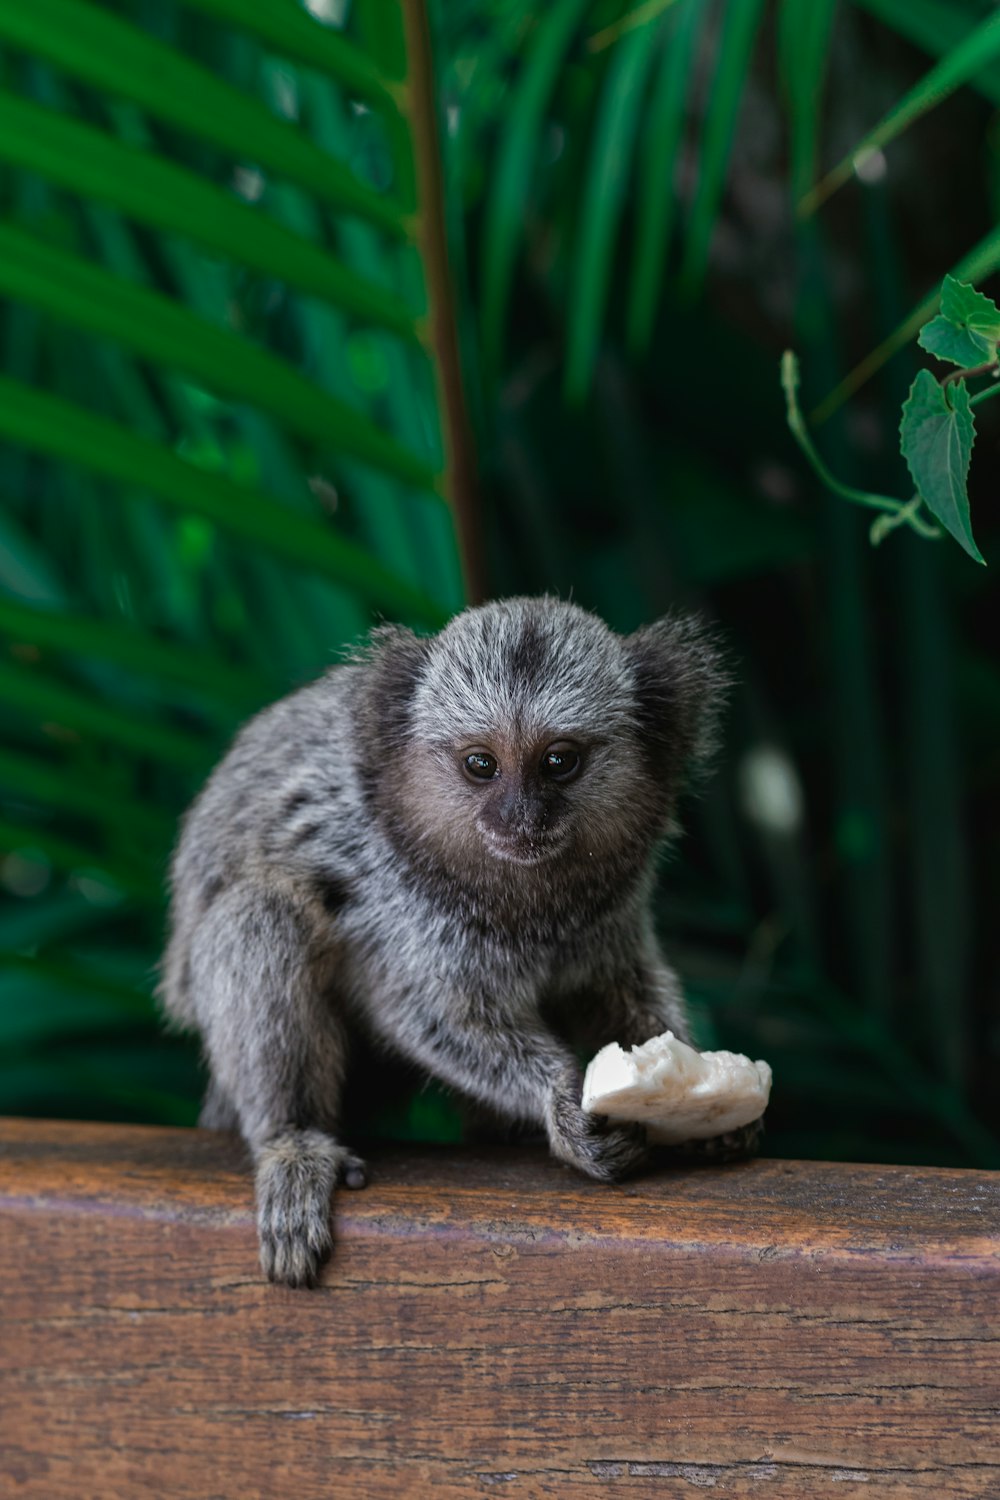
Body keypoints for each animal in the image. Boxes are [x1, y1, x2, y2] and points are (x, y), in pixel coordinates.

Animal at [160, 597, 731, 1290]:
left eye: (559, 761)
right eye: (481, 764)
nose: (520, 818)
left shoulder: (608, 913)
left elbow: (622, 991)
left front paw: (701, 1091)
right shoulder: (401, 903)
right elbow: (429, 1016)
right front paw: (563, 1103)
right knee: (262, 915)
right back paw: (290, 1141)